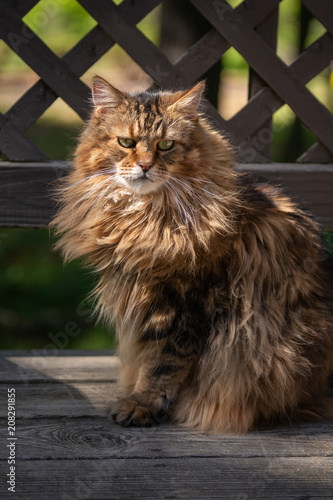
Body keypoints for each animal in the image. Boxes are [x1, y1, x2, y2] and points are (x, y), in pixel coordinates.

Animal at [51, 76, 332, 432]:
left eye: (165, 146)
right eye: (126, 142)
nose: (145, 165)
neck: (146, 219)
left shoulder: (185, 306)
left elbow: (162, 366)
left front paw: (142, 405)